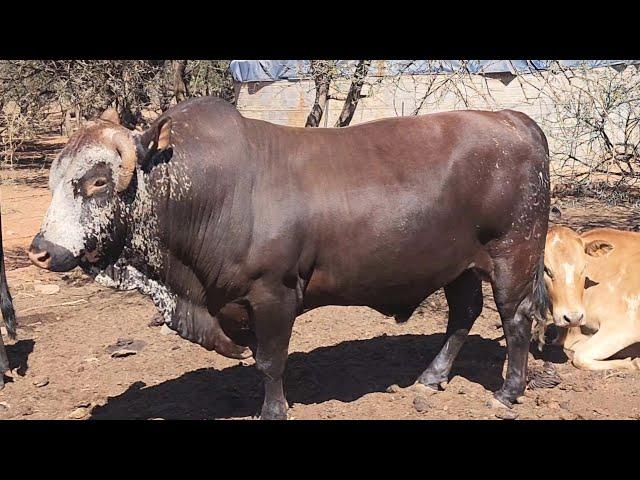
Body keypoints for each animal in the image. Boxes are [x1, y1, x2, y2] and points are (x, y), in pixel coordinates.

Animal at [544, 226, 640, 372]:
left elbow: (580, 356)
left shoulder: (624, 326)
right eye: (547, 270)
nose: (573, 318)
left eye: (583, 267)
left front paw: (633, 362)